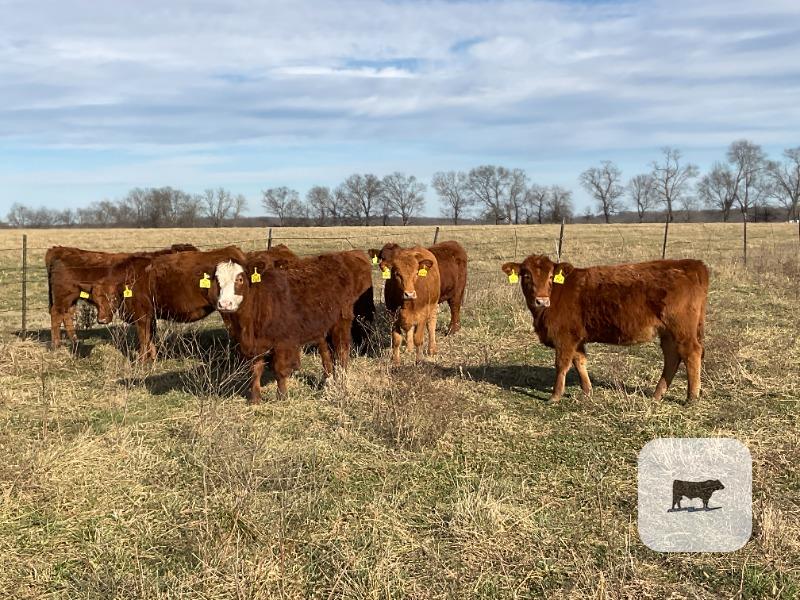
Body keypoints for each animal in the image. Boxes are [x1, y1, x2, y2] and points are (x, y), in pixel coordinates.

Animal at [45, 244, 197, 348]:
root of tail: (59, 250)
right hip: (63, 297)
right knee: (56, 314)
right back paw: (56, 345)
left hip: (70, 299)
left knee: (67, 315)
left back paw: (75, 341)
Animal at [90, 246, 246, 360]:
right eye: (94, 300)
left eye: (112, 296)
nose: (102, 320)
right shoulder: (150, 316)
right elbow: (151, 339)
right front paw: (152, 360)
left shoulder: (141, 317)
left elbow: (144, 340)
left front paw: (141, 362)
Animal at [213, 250, 374, 403]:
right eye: (217, 280)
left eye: (239, 279)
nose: (224, 304)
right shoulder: (255, 345)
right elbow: (255, 370)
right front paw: (255, 399)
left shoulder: (284, 342)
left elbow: (280, 370)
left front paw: (282, 397)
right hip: (322, 327)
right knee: (326, 353)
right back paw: (328, 381)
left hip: (341, 321)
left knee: (342, 351)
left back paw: (342, 382)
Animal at [501, 256, 709, 402]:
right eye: (526, 275)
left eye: (551, 276)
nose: (541, 300)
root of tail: (692, 264)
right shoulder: (576, 338)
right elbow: (580, 361)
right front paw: (587, 390)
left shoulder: (564, 337)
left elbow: (561, 365)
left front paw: (555, 395)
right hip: (667, 333)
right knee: (672, 357)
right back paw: (658, 394)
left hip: (682, 329)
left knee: (691, 353)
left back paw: (692, 396)